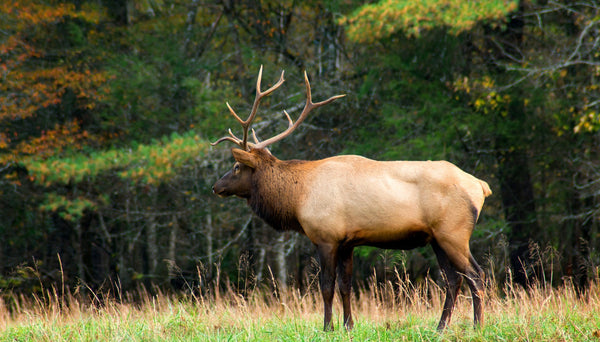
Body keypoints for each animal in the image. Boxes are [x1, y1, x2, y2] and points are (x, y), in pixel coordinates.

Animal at [211, 67, 492, 332]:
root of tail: (481, 186)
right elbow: (346, 286)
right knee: (453, 279)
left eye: (236, 167)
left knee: (476, 275)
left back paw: (477, 325)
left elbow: (326, 286)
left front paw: (327, 326)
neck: (297, 198)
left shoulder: (326, 237)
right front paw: (348, 325)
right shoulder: (347, 242)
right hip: (437, 238)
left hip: (453, 233)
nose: (216, 187)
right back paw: (441, 327)